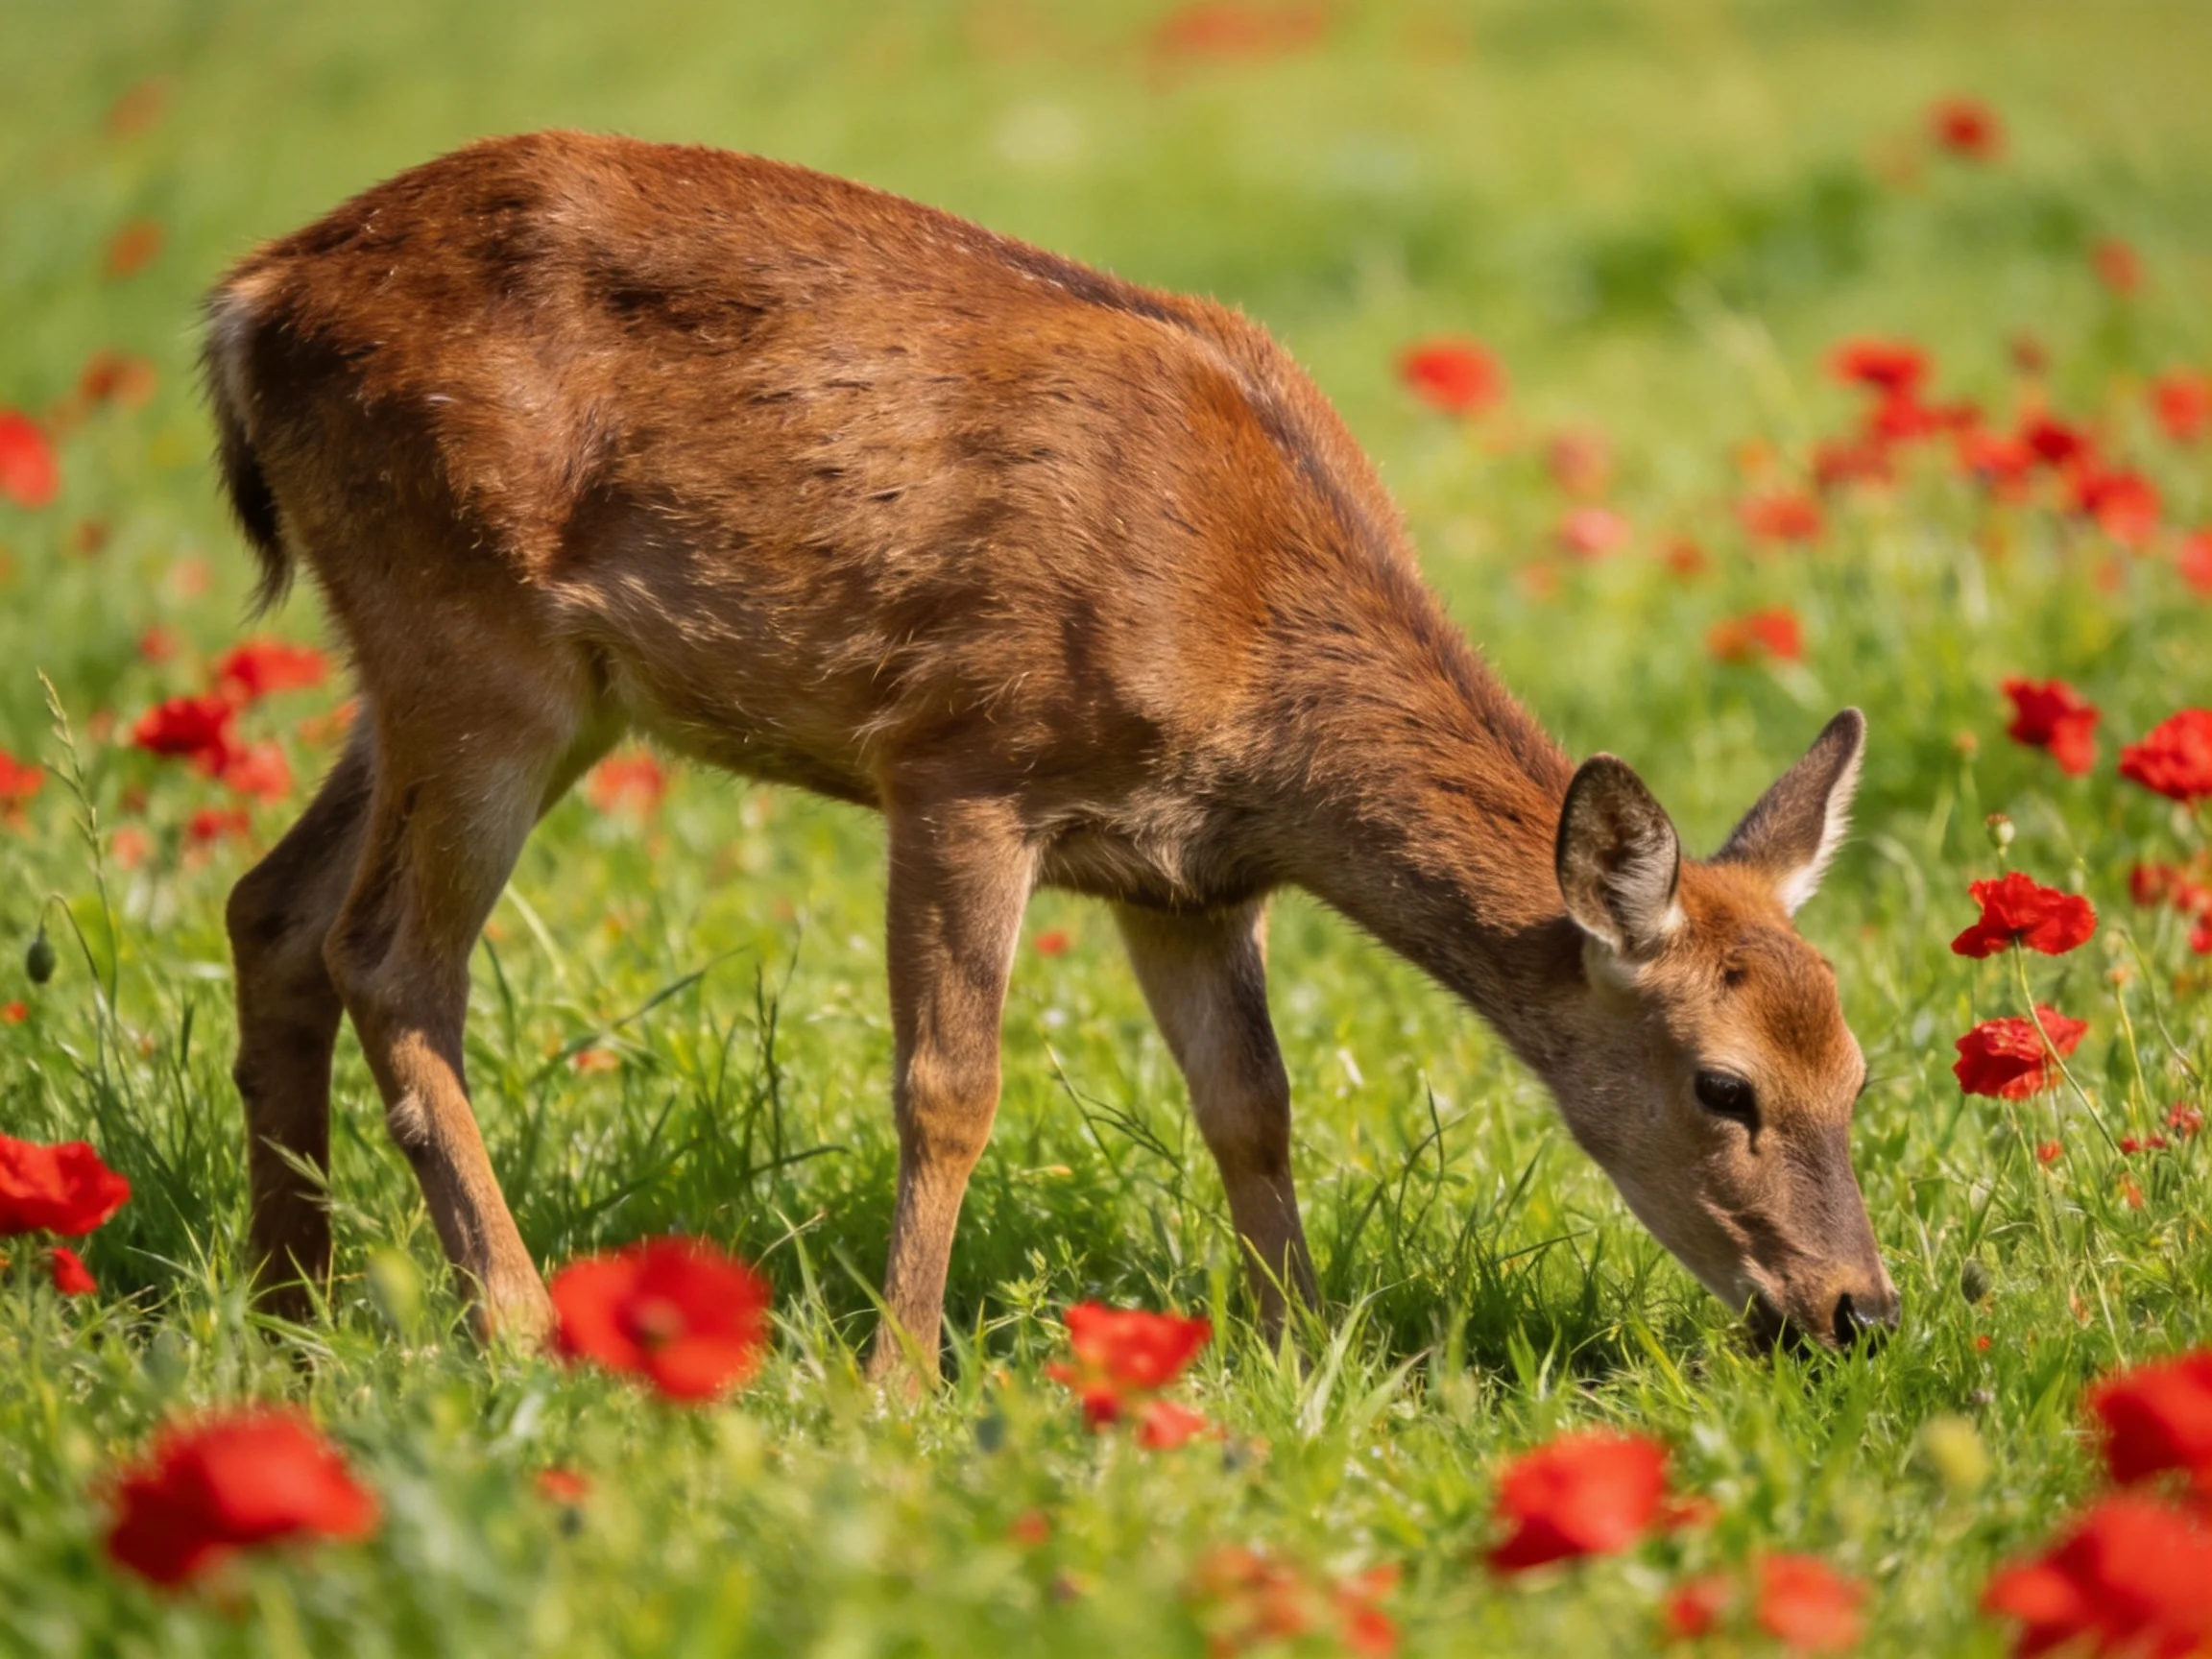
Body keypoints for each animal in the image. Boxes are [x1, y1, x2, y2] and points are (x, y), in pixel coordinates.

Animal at [205, 131, 1897, 1384]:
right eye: (1724, 1084)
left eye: (1860, 1069)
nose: (1858, 1313)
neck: (1251, 658)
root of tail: (249, 297)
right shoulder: (966, 759)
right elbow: (949, 1086)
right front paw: (898, 1384)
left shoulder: (1189, 880)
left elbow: (1253, 1105)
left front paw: (1297, 1360)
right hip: (472, 634)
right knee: (392, 955)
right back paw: (514, 1326)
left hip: (458, 671)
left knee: (271, 907)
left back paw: (291, 1318)